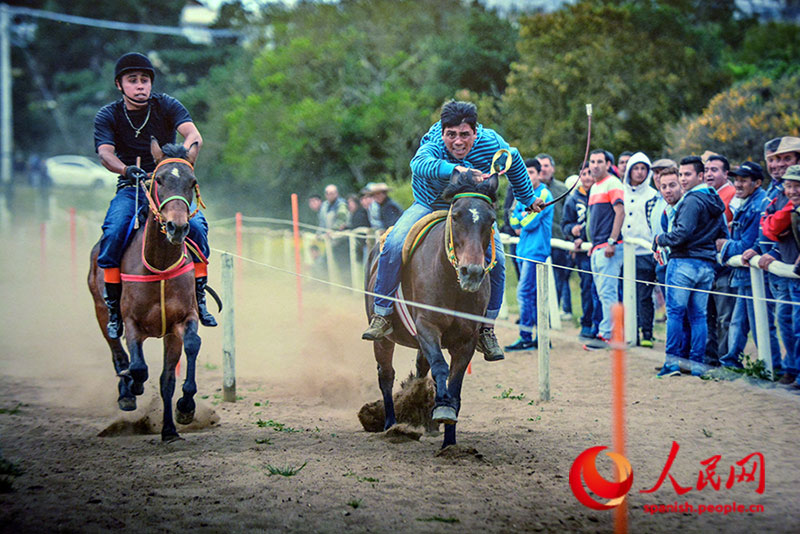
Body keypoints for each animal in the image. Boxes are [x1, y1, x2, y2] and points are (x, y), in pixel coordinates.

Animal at [88, 139, 206, 444]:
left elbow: (184, 356)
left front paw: (183, 411)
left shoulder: (181, 320)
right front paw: (134, 385)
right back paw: (128, 392)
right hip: (101, 311)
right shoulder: (132, 323)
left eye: (192, 182)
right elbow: (139, 365)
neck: (159, 263)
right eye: (159, 180)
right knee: (117, 351)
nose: (177, 227)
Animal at [364, 171, 500, 448]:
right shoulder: (427, 326)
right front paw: (442, 410)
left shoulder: (466, 340)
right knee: (386, 375)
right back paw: (391, 424)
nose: (472, 272)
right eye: (456, 215)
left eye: (491, 219)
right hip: (384, 340)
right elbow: (440, 367)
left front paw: (449, 441)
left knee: (420, 368)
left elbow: (454, 384)